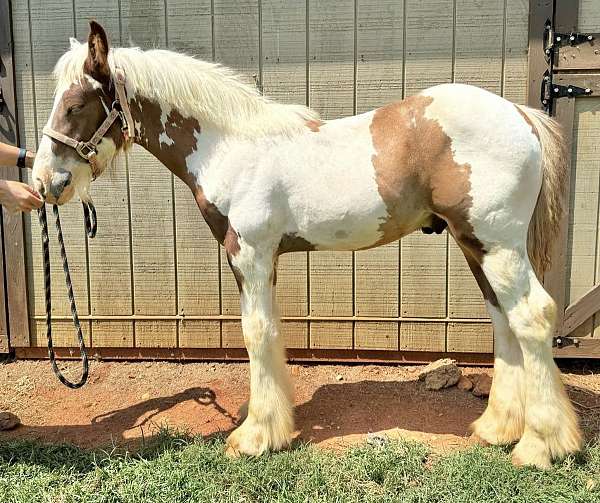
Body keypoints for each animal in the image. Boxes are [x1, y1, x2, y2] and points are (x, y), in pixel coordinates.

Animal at [31, 19, 580, 468]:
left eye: (75, 105)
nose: (44, 182)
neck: (231, 147)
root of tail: (521, 116)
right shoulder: (264, 258)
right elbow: (272, 332)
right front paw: (273, 426)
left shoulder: (248, 252)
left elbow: (256, 333)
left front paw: (254, 437)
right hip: (474, 246)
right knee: (503, 322)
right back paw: (497, 429)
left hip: (497, 244)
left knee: (533, 317)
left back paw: (539, 446)